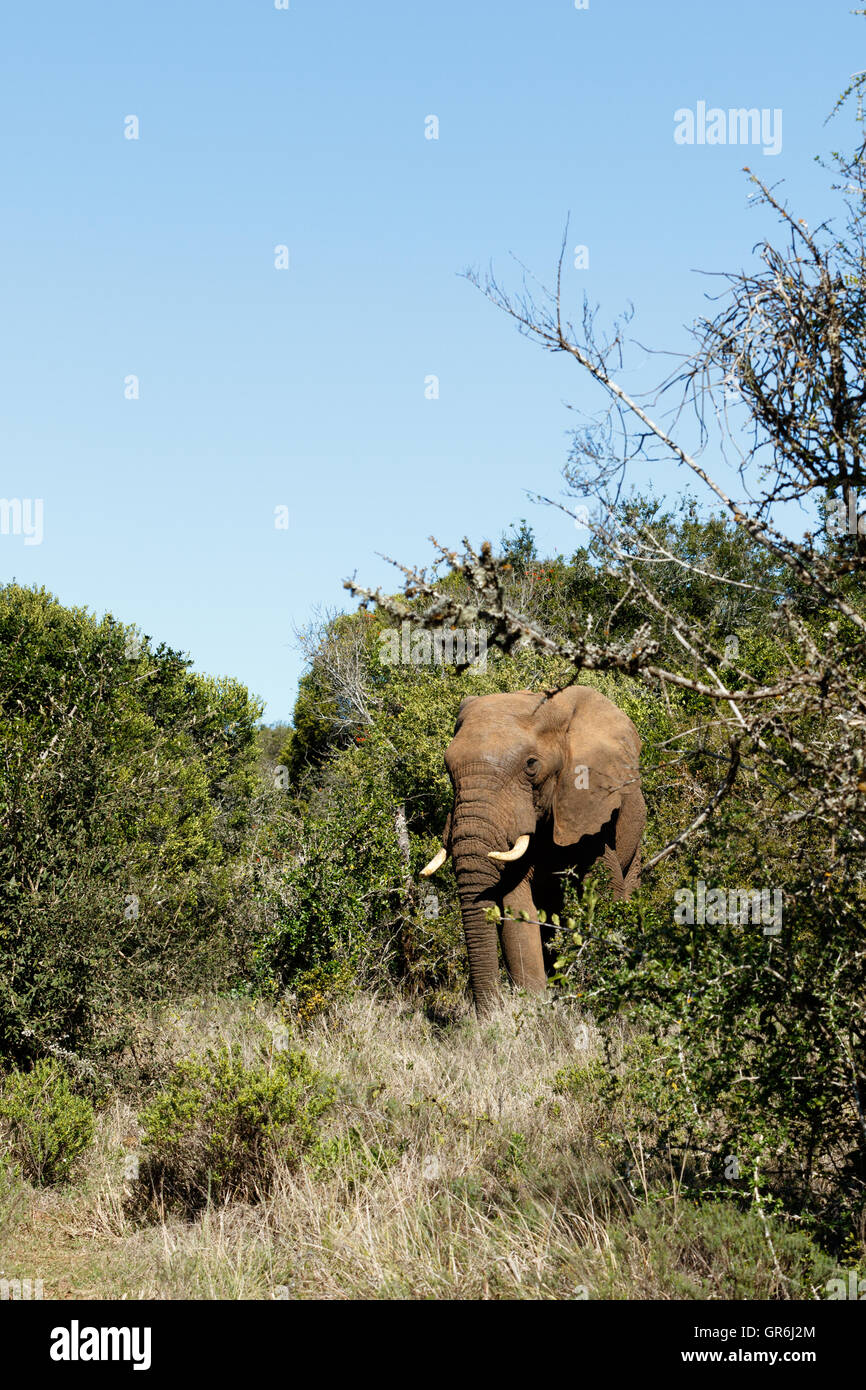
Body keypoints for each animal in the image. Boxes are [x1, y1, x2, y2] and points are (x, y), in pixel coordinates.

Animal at [419, 681, 644, 1011]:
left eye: (531, 766)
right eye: (448, 769)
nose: (485, 1015)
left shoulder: (588, 806)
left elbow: (604, 889)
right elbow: (517, 906)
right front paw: (534, 1008)